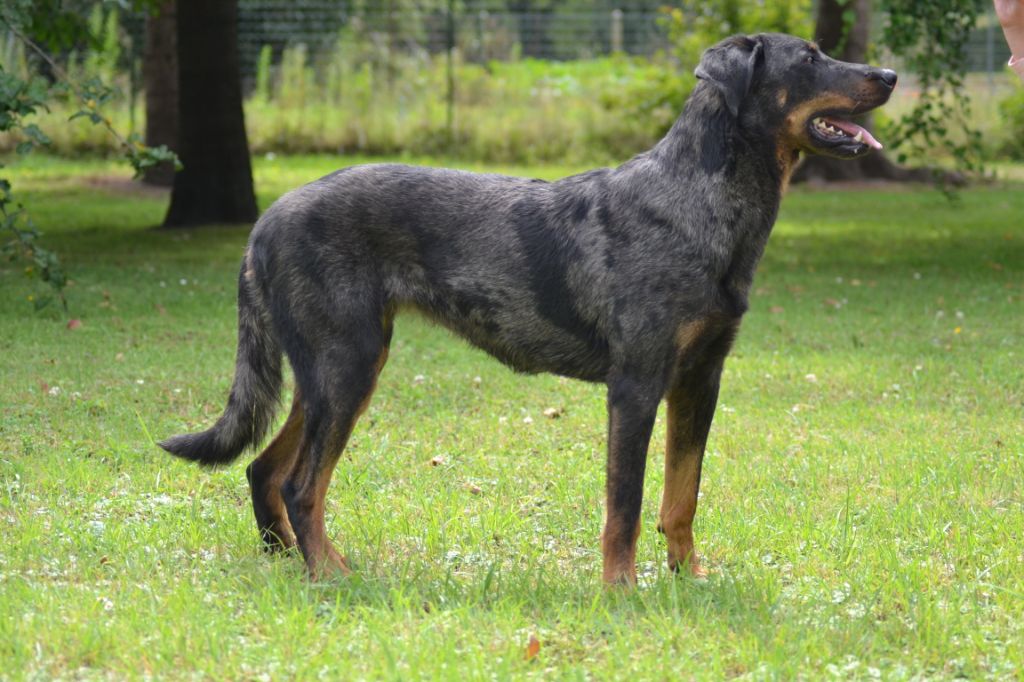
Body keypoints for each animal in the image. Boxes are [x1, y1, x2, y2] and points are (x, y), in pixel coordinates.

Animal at [159, 33, 897, 585]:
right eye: (809, 58)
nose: (889, 74)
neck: (703, 199)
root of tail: (265, 222)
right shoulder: (636, 386)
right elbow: (626, 505)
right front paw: (622, 592)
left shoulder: (700, 380)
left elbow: (681, 498)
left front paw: (689, 583)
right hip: (346, 365)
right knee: (302, 484)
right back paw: (330, 577)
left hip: (331, 373)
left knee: (265, 469)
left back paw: (297, 566)